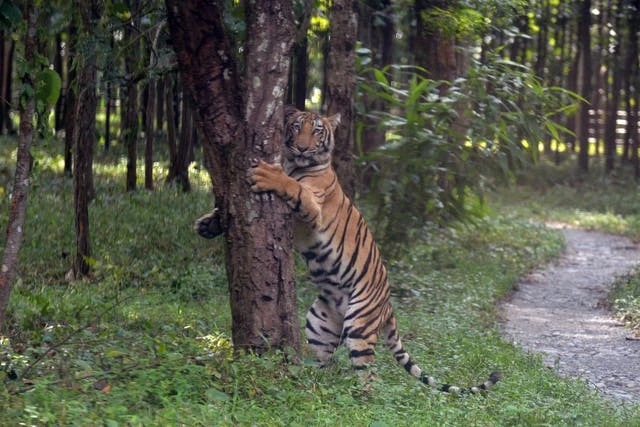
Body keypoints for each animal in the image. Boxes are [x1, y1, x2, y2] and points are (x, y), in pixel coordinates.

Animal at [195, 106, 500, 393]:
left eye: (317, 131)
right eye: (296, 127)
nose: (302, 147)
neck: (295, 163)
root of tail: (388, 305)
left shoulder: (311, 208)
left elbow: (292, 186)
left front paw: (267, 174)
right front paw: (207, 225)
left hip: (359, 324)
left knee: (369, 375)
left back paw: (360, 398)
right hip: (319, 323)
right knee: (324, 364)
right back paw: (313, 384)